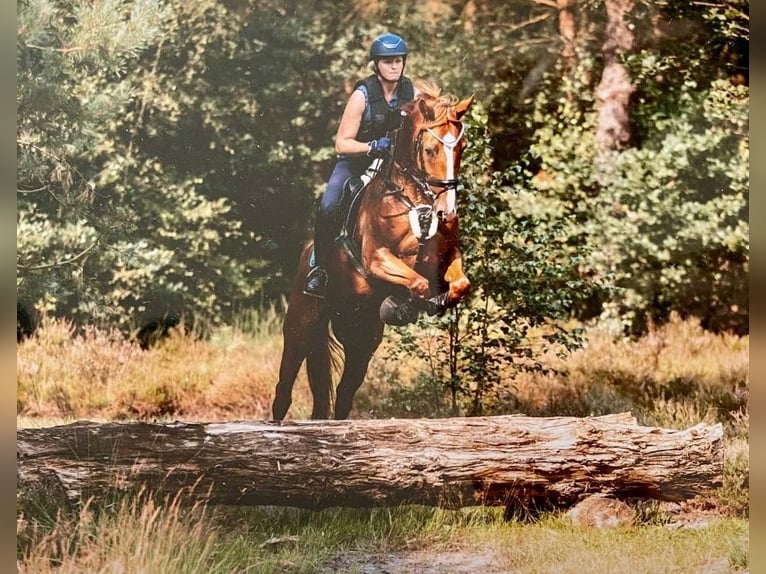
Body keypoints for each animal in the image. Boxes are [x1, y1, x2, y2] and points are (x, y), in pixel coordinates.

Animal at [270, 84, 474, 424]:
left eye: (462, 148)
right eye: (430, 150)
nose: (447, 211)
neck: (414, 198)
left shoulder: (446, 257)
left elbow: (459, 284)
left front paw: (435, 302)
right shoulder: (377, 258)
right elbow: (417, 282)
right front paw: (402, 306)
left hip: (361, 338)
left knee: (343, 395)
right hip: (302, 325)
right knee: (283, 389)